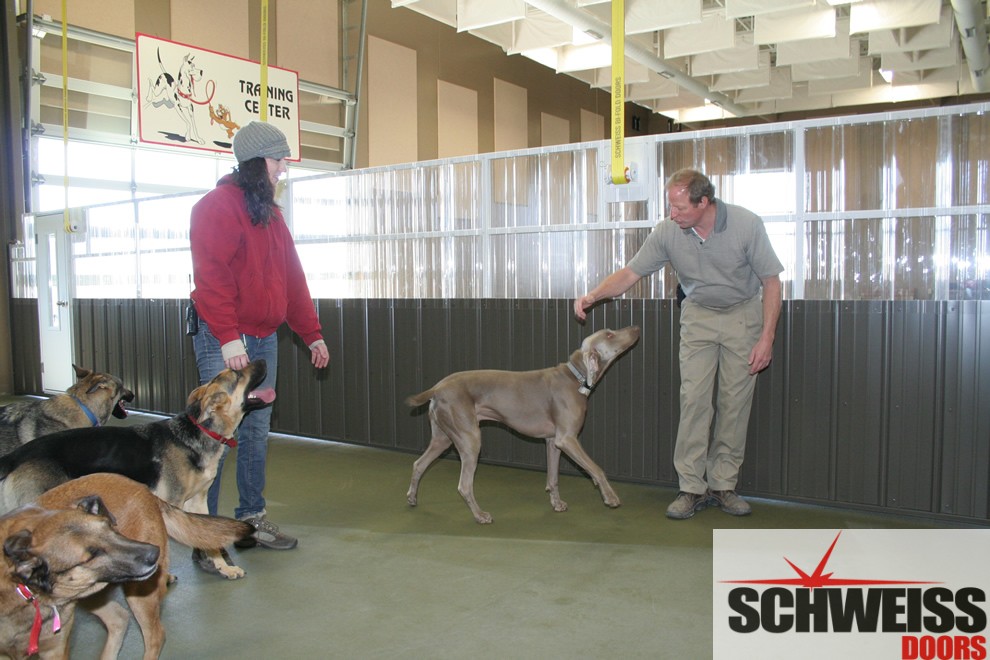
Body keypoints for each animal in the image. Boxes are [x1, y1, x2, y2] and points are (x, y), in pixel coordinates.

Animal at [0, 492, 161, 656]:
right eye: (91, 557)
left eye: (109, 526)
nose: (155, 553)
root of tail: (146, 492)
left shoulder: (56, 649)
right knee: (119, 618)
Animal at [404, 328, 644, 524]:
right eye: (610, 334)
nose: (636, 327)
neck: (575, 377)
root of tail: (437, 387)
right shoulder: (567, 439)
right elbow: (596, 468)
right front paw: (610, 497)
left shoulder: (553, 441)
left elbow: (553, 477)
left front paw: (556, 504)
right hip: (469, 439)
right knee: (464, 485)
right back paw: (480, 516)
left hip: (443, 437)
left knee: (419, 464)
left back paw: (412, 498)